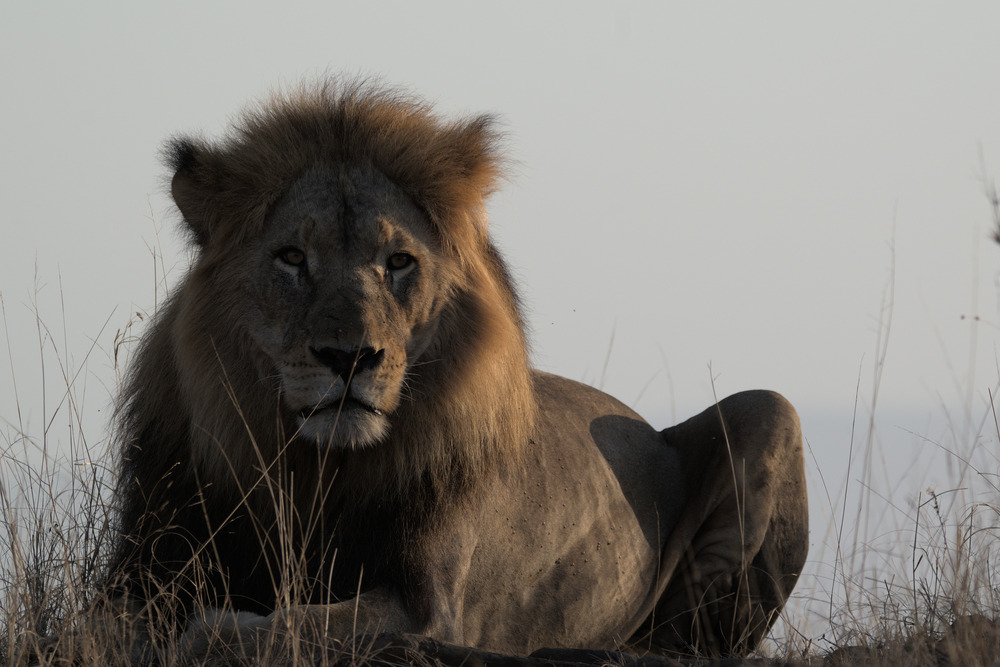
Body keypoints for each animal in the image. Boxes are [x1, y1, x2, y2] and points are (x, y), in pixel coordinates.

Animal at [103, 79, 804, 664]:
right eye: (292, 257)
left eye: (398, 262)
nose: (350, 357)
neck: (317, 471)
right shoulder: (145, 563)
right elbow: (115, 620)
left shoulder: (427, 608)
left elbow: (281, 627)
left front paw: (204, 632)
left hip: (771, 409)